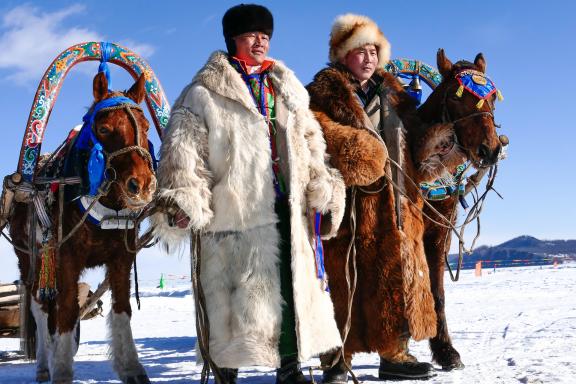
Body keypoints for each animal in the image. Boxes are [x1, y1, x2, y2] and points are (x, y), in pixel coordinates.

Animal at [7, 71, 156, 380]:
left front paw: (131, 367)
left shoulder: (122, 258)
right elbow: (65, 311)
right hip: (30, 260)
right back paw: (44, 364)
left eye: (146, 126)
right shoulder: (66, 259)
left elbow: (122, 308)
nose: (142, 185)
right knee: (41, 309)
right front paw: (62, 371)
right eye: (104, 128)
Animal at [414, 49, 504, 370]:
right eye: (455, 97)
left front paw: (445, 349)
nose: (490, 149)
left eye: (492, 98)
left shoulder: (439, 233)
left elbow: (436, 292)